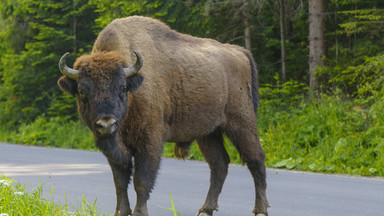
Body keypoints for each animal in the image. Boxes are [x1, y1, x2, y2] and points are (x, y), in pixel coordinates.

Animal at [57, 15, 268, 216]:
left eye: (122, 88)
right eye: (82, 91)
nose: (107, 124)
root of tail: (240, 52)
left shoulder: (150, 142)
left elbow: (141, 180)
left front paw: (140, 212)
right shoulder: (115, 150)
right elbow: (120, 182)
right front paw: (121, 212)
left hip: (241, 123)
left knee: (256, 159)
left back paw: (260, 209)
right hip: (209, 133)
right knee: (219, 164)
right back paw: (206, 209)